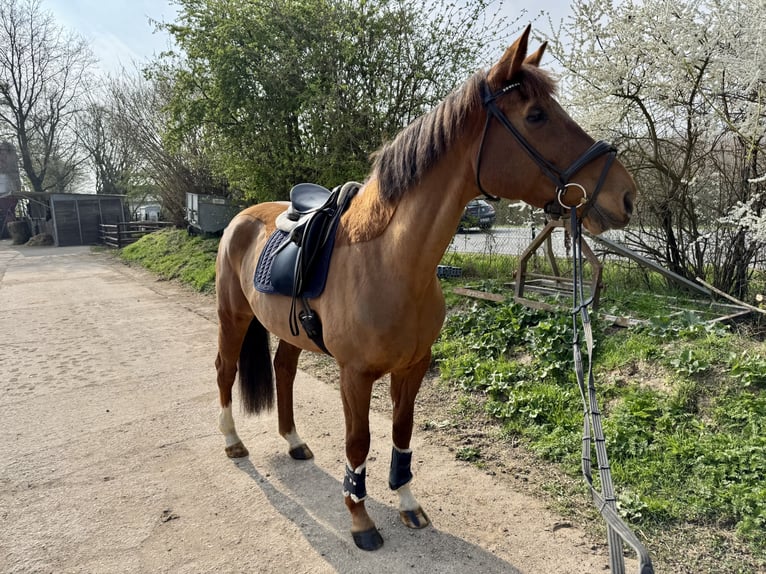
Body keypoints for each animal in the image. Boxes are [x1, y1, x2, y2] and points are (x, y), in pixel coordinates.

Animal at [214, 27, 636, 552]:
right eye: (536, 116)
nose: (625, 195)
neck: (391, 264)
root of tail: (242, 218)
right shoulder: (354, 376)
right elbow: (359, 442)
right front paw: (360, 519)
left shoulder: (414, 366)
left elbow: (402, 430)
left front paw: (407, 502)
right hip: (232, 318)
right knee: (225, 371)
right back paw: (233, 442)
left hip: (288, 330)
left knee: (284, 371)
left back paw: (294, 442)